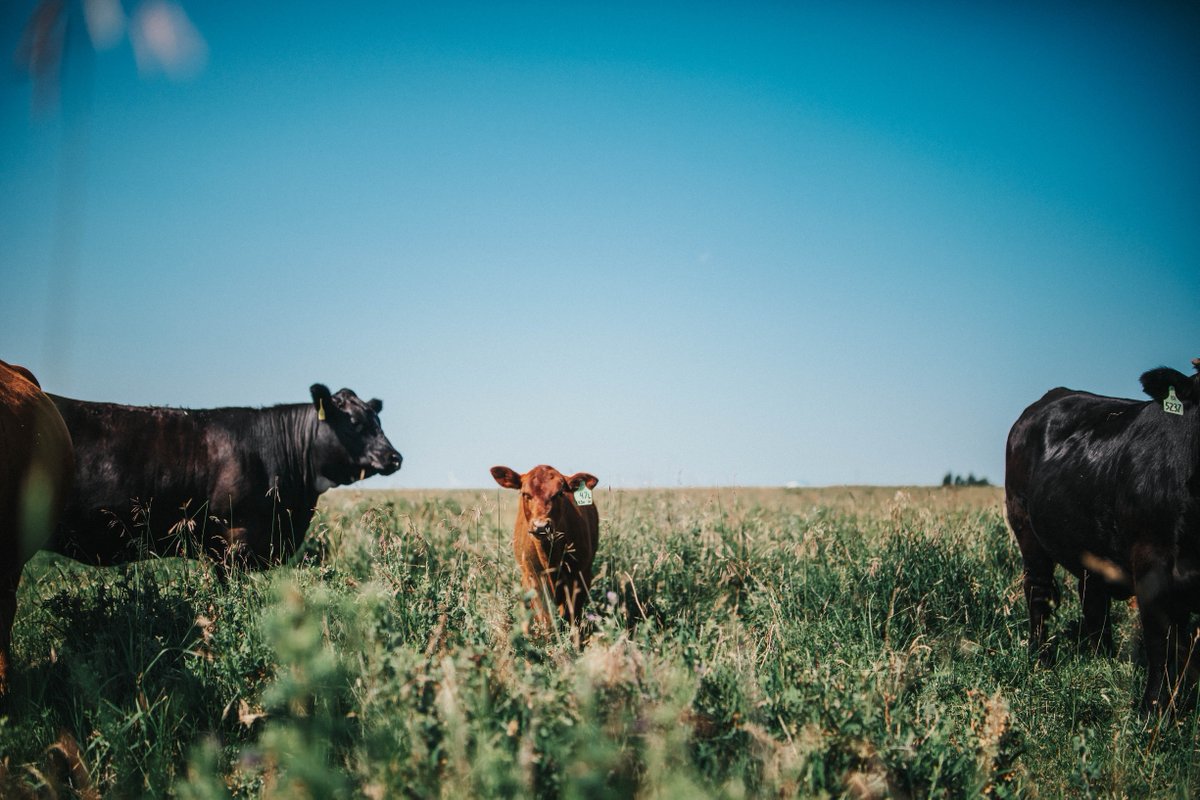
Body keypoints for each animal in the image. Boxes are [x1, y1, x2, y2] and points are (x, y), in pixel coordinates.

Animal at [489, 462, 597, 633]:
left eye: (559, 493)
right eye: (525, 494)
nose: (541, 526)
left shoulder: (580, 576)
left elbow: (572, 616)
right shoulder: (533, 578)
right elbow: (546, 619)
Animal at [1003, 357, 1200, 714]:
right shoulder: (1152, 568)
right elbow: (1160, 645)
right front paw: (1153, 708)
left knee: (1093, 600)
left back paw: (1100, 659)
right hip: (1027, 531)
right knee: (1038, 592)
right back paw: (1040, 659)